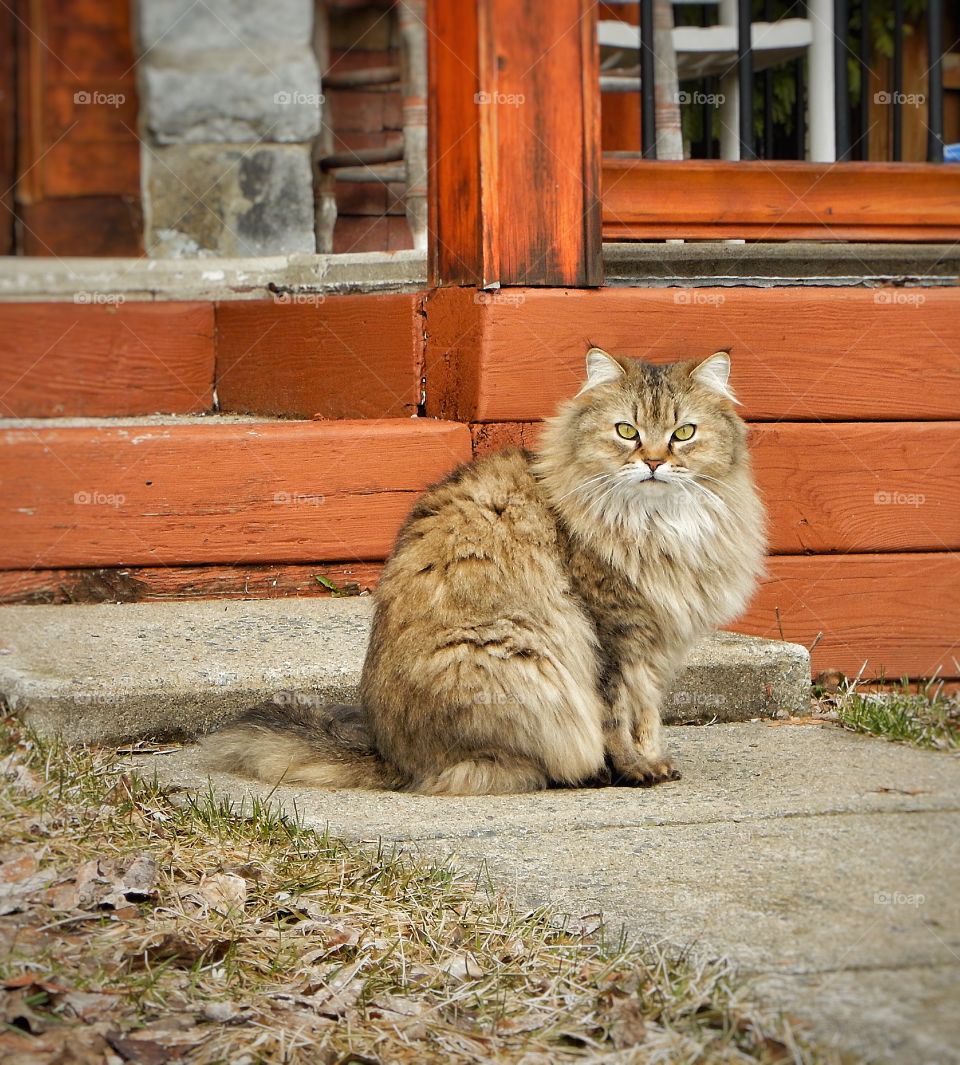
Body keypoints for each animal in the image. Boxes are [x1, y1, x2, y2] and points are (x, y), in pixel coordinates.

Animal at [202, 353, 762, 796]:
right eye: (627, 431)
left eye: (683, 433)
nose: (653, 462)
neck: (656, 525)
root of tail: (393, 758)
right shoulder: (613, 636)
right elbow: (618, 719)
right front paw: (633, 769)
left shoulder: (653, 645)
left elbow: (647, 715)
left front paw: (655, 760)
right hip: (519, 656)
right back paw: (583, 774)